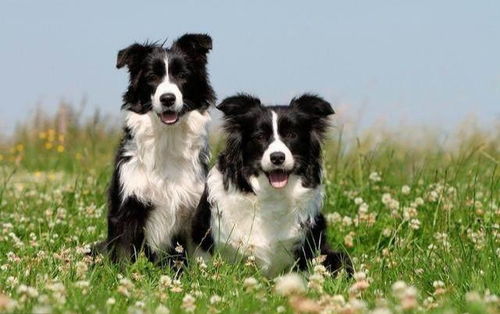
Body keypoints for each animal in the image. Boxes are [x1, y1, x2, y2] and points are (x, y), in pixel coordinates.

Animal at [94, 33, 216, 264]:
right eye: (152, 77)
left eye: (182, 75)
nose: (167, 98)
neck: (166, 138)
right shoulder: (127, 209)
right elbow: (123, 255)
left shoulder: (193, 212)